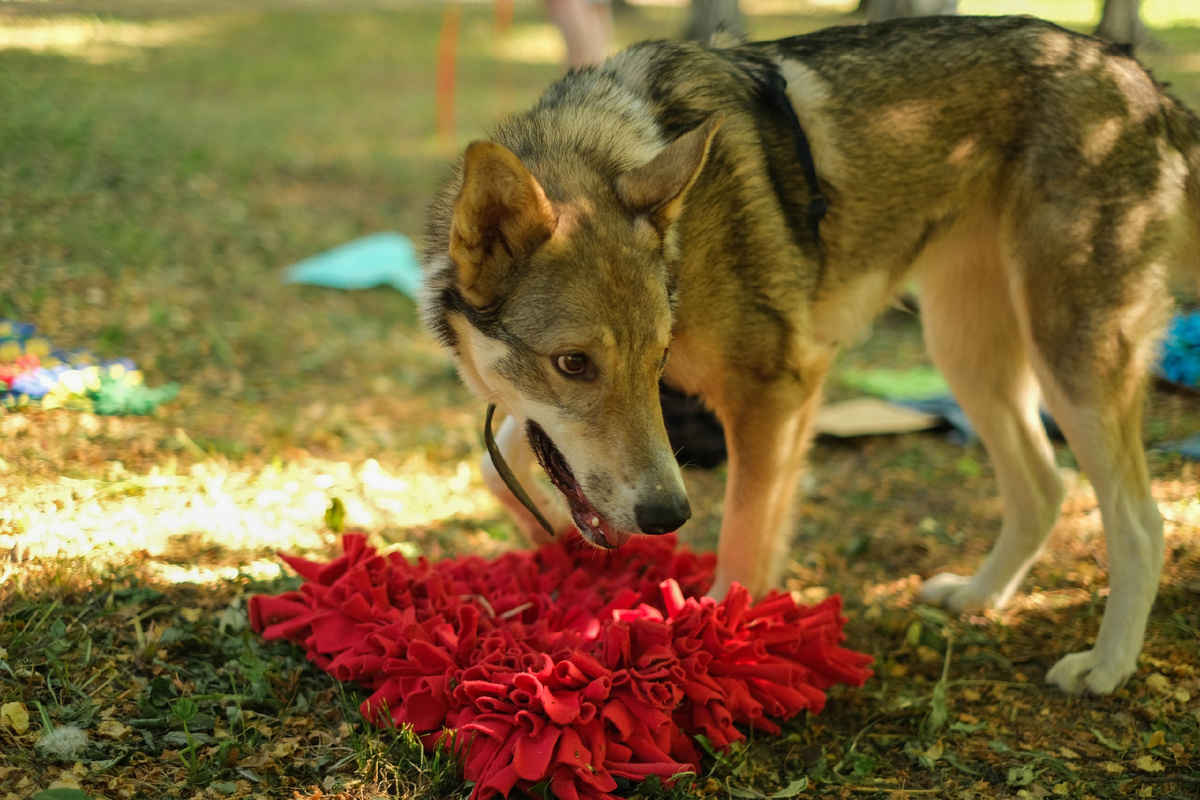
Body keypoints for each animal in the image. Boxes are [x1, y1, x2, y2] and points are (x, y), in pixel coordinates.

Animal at [420, 17, 1200, 695]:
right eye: (574, 364)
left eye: (659, 355)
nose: (669, 517)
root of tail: (1140, 81)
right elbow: (500, 469)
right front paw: (549, 540)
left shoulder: (776, 390)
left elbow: (742, 544)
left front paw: (718, 648)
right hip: (968, 355)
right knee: (1044, 489)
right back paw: (978, 596)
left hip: (1070, 361)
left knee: (1141, 521)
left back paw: (1106, 666)